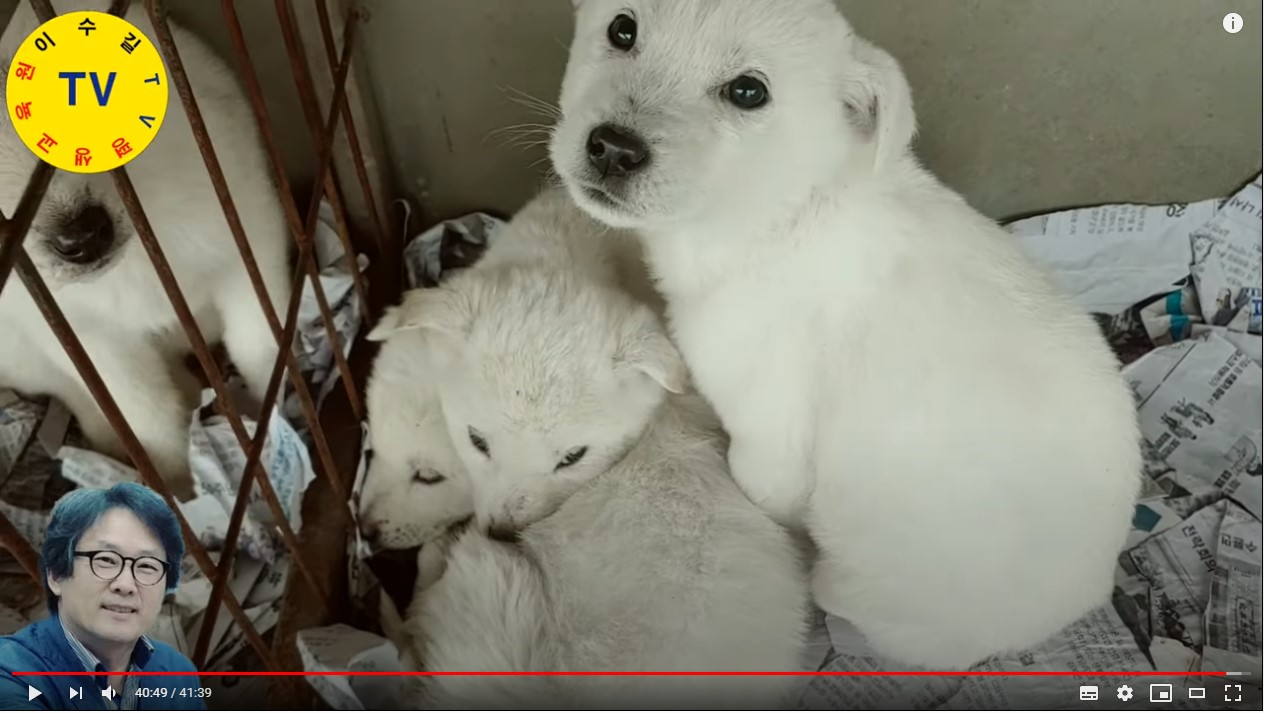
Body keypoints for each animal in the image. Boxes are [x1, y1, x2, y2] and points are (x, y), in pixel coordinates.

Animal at [0, 1, 291, 499]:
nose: (83, 237)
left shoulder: (251, 233)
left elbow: (260, 344)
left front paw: (274, 421)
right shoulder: (90, 341)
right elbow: (150, 420)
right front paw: (178, 491)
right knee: (76, 394)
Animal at [550, 0, 1142, 668]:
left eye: (748, 92)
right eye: (622, 29)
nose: (613, 149)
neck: (775, 218)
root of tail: (1080, 602)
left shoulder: (770, 436)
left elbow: (764, 486)